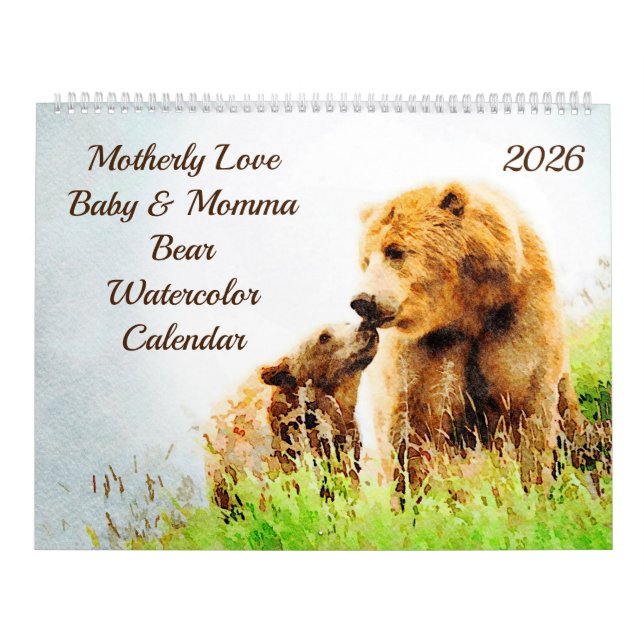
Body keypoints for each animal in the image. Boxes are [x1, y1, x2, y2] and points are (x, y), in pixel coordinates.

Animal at [351, 182, 580, 493]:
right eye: (365, 260)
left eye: (394, 251)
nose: (362, 300)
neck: (465, 311)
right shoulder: (422, 352)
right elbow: (412, 428)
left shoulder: (518, 316)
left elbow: (527, 405)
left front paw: (532, 485)